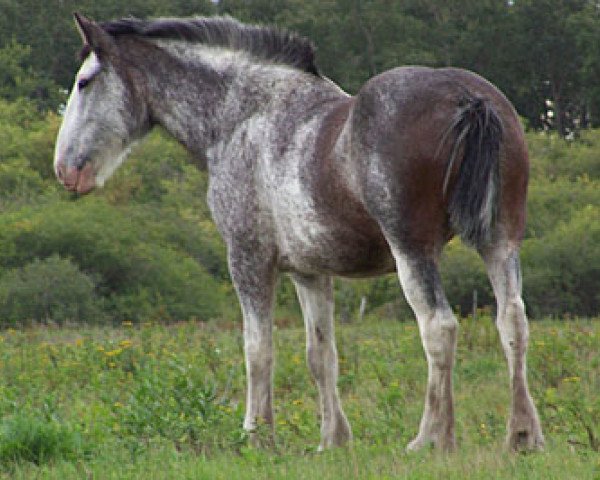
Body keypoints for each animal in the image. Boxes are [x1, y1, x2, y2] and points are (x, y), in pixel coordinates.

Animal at [55, 13, 544, 452]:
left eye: (84, 82)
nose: (64, 170)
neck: (242, 117)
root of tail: (468, 98)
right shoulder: (310, 273)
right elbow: (321, 356)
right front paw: (333, 439)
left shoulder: (248, 259)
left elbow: (258, 349)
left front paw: (257, 435)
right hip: (500, 242)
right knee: (512, 322)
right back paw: (523, 436)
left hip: (414, 252)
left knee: (439, 328)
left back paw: (431, 439)